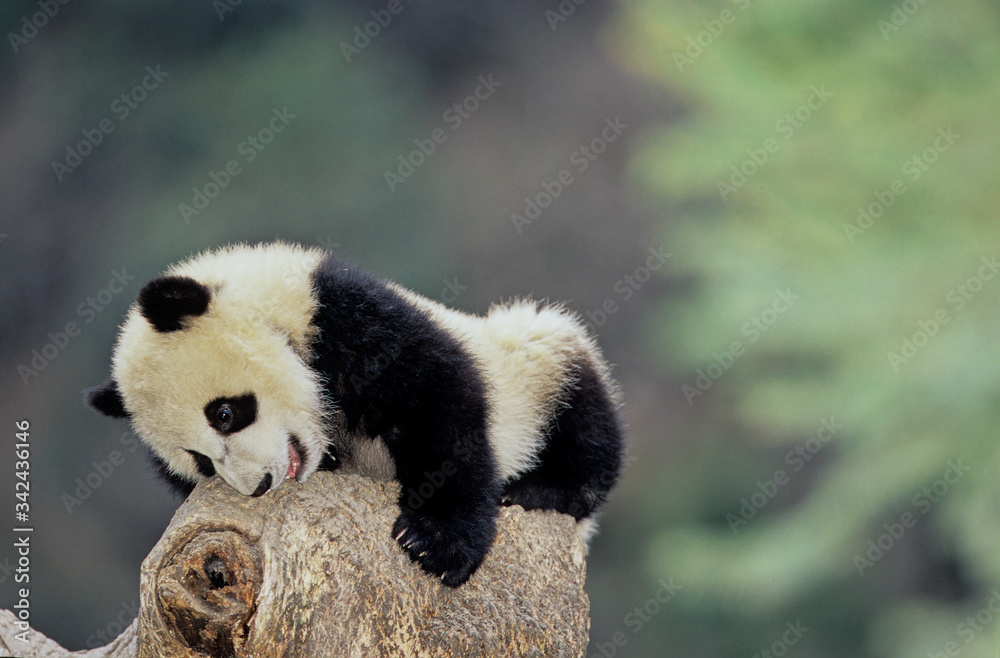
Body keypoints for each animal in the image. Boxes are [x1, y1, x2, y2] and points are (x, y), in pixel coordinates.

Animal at [86, 242, 623, 586]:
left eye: (224, 413)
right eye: (200, 462)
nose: (258, 485)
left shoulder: (349, 317)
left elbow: (439, 410)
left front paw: (434, 542)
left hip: (532, 368)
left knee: (581, 411)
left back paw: (542, 488)